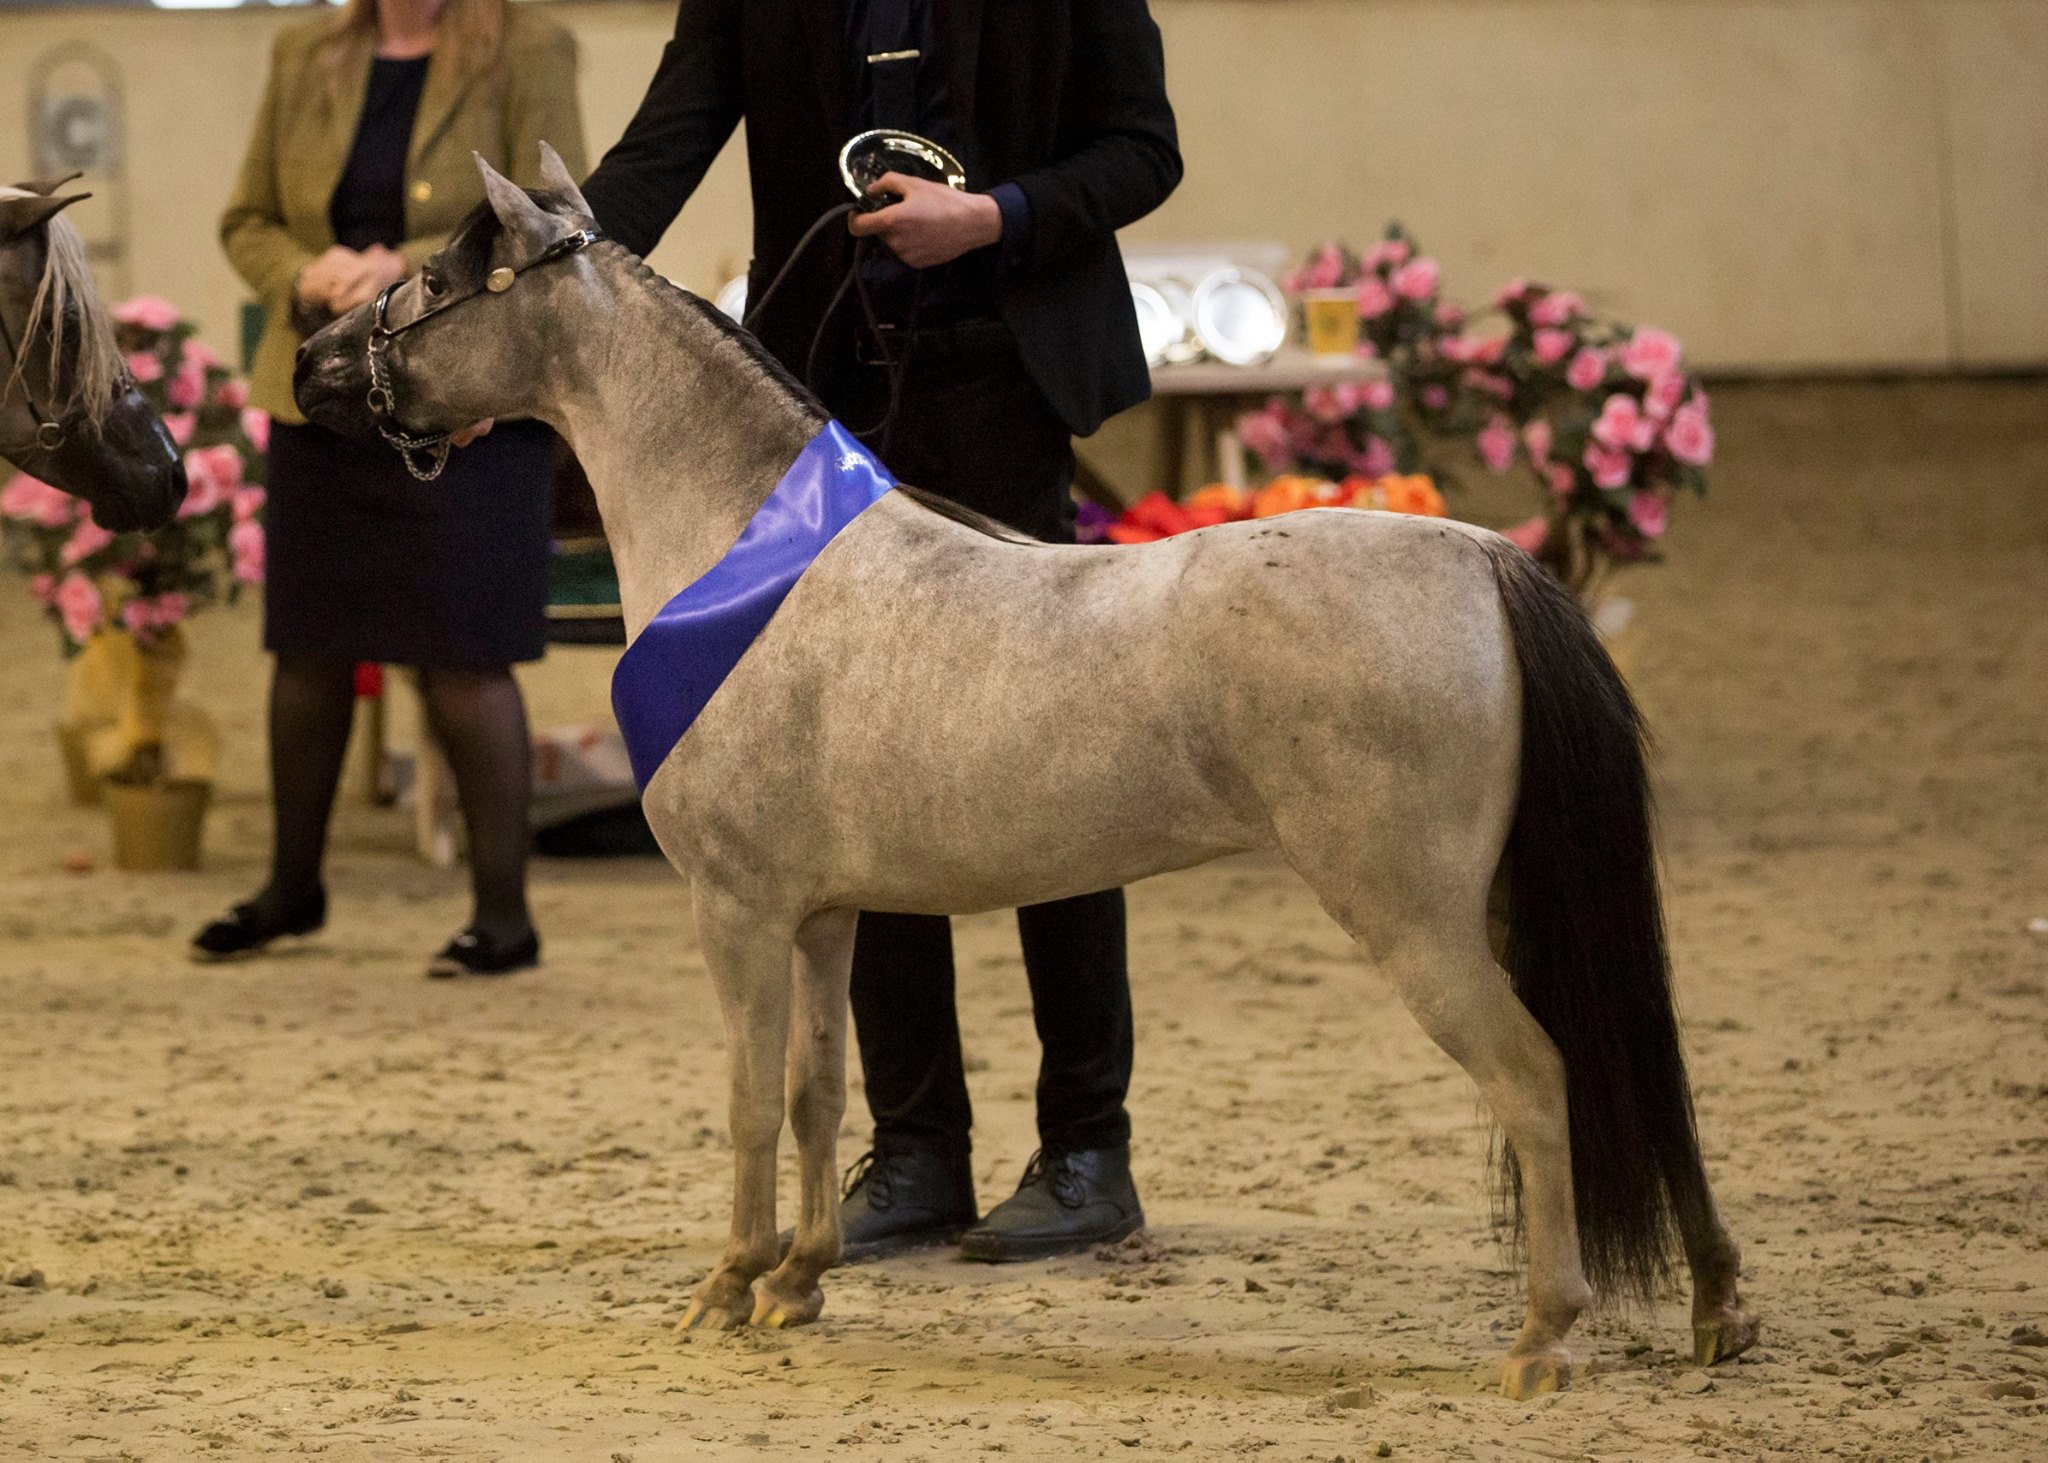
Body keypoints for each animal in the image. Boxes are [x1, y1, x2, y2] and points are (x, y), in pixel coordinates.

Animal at [294, 147, 1760, 1399]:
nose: (311, 364)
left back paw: (1542, 1335)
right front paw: (801, 1281)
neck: (749, 549)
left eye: (430, 283)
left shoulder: (738, 908)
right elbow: (819, 1090)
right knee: (1637, 1070)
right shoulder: (824, 914)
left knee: (1539, 1076)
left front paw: (723, 1286)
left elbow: (748, 1099)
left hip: (1416, 917)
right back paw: (1715, 1307)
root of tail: (1487, 557)